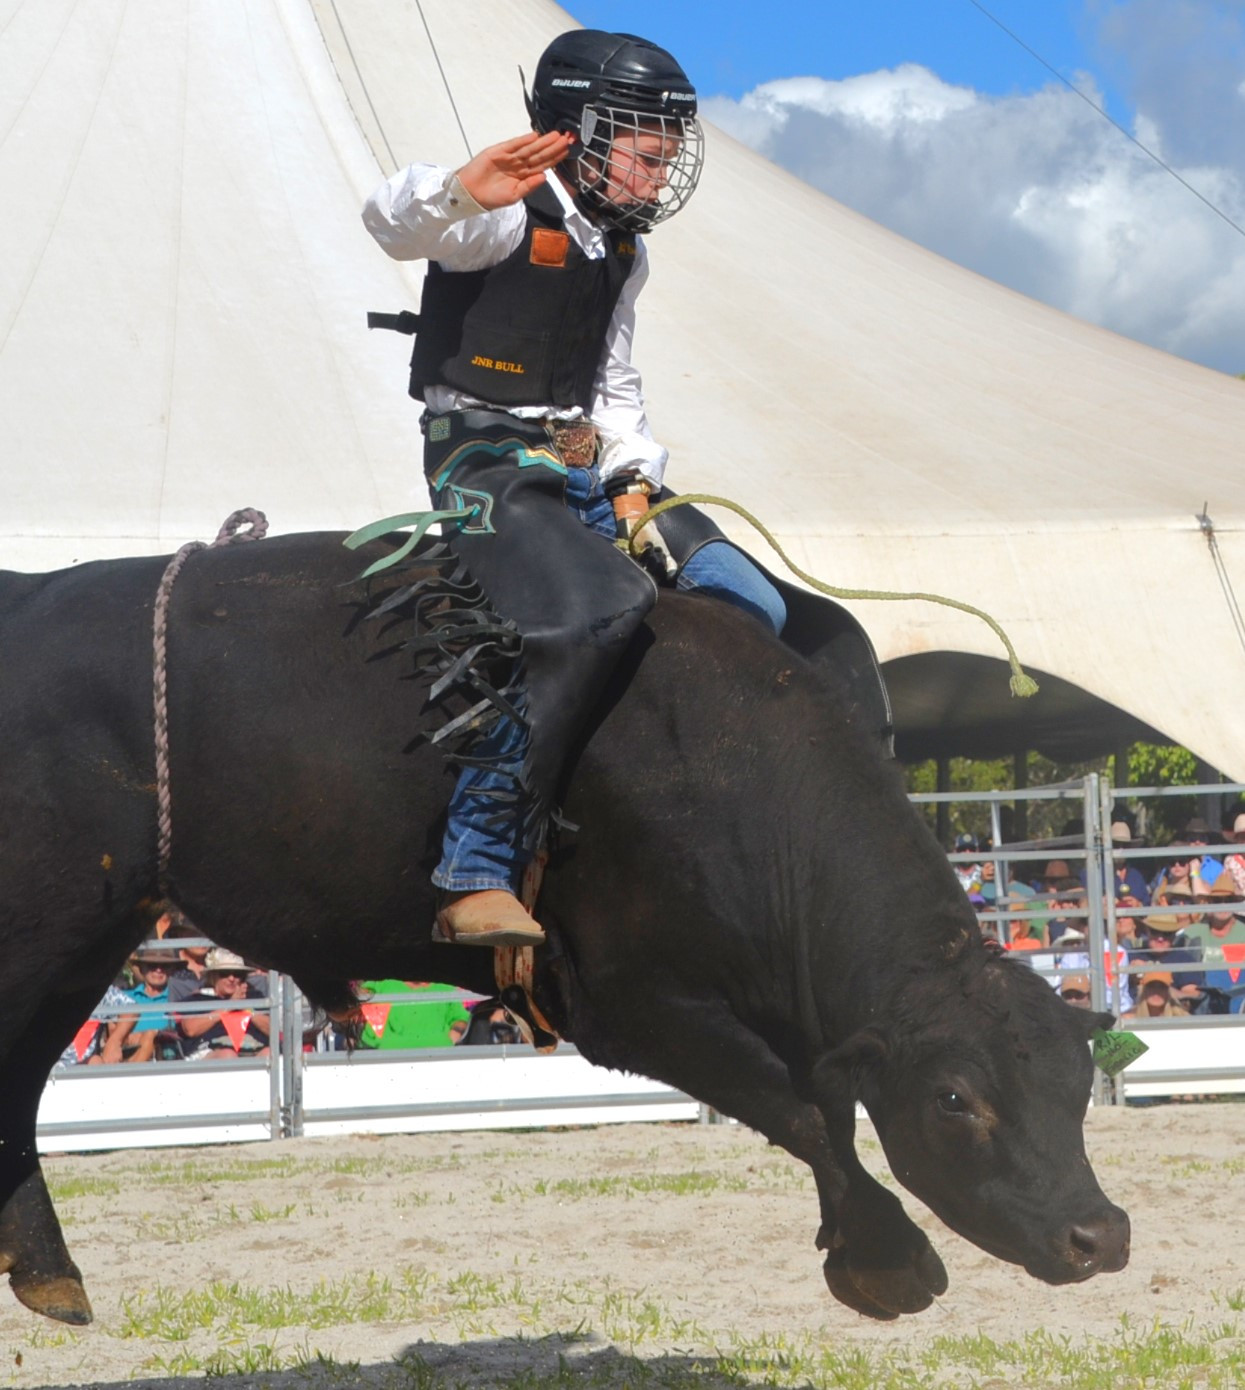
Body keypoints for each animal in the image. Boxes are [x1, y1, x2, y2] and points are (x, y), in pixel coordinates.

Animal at [0, 530, 1128, 1323]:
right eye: (954, 1098)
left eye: (1077, 1082)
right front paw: (886, 1260)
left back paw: (46, 1273)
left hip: (84, 934)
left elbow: (823, 1106)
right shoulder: (627, 1005)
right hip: (47, 925)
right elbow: (807, 1108)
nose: (1101, 1235)